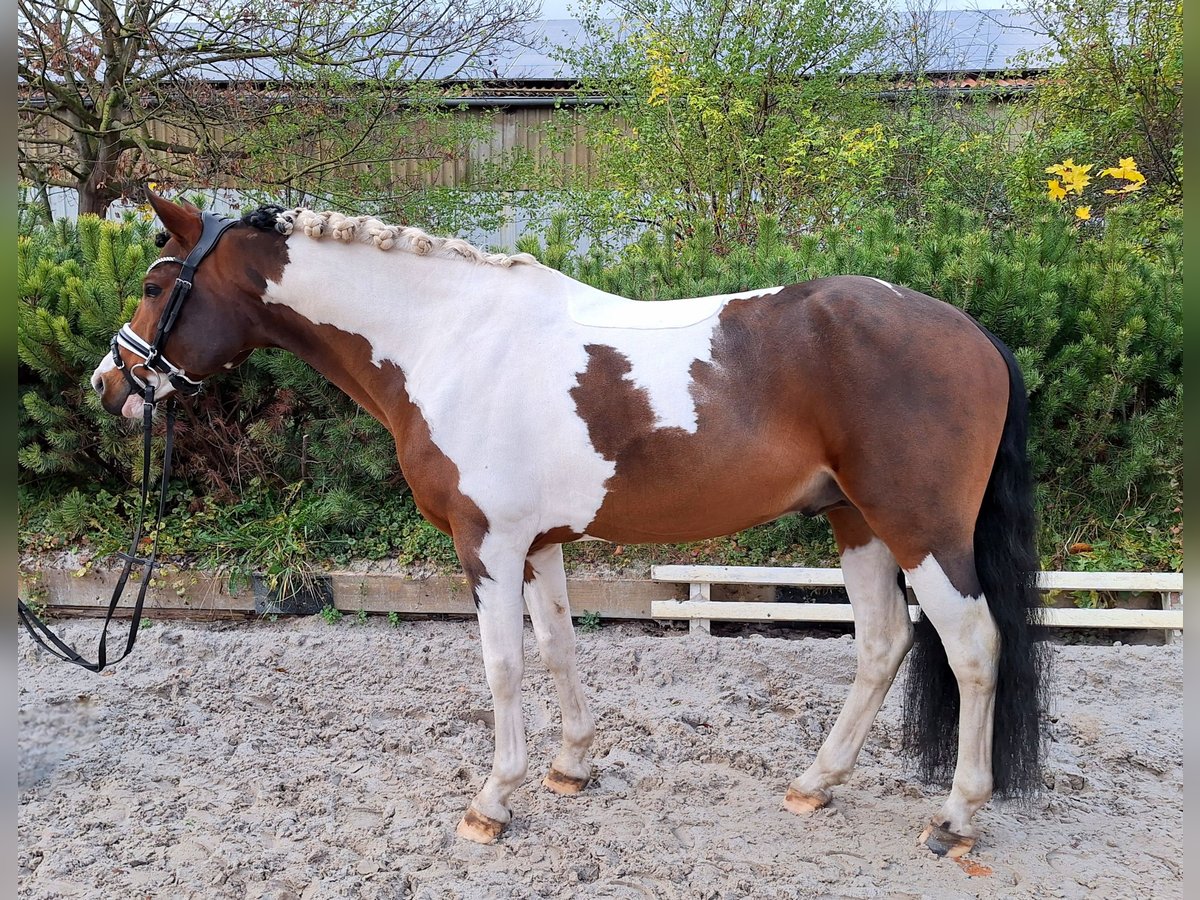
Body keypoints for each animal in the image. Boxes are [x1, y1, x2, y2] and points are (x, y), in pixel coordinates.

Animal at [93, 192, 1046, 859]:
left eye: (153, 286)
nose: (108, 387)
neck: (449, 338)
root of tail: (974, 335)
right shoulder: (539, 545)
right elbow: (557, 649)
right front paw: (570, 768)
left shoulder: (486, 543)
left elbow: (503, 665)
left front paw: (492, 801)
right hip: (858, 524)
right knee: (884, 643)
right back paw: (816, 783)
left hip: (920, 531)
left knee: (972, 647)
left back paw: (955, 818)